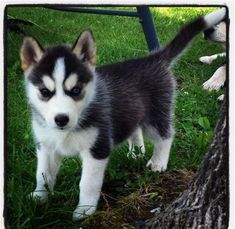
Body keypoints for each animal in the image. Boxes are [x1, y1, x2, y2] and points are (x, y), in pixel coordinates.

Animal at [19, 8, 226, 220]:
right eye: (45, 92)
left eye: (76, 90)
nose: (61, 119)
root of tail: (153, 58)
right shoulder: (45, 146)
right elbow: (42, 174)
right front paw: (39, 198)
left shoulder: (98, 149)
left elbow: (87, 183)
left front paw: (84, 211)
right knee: (135, 129)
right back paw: (136, 152)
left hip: (155, 115)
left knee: (166, 135)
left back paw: (158, 162)